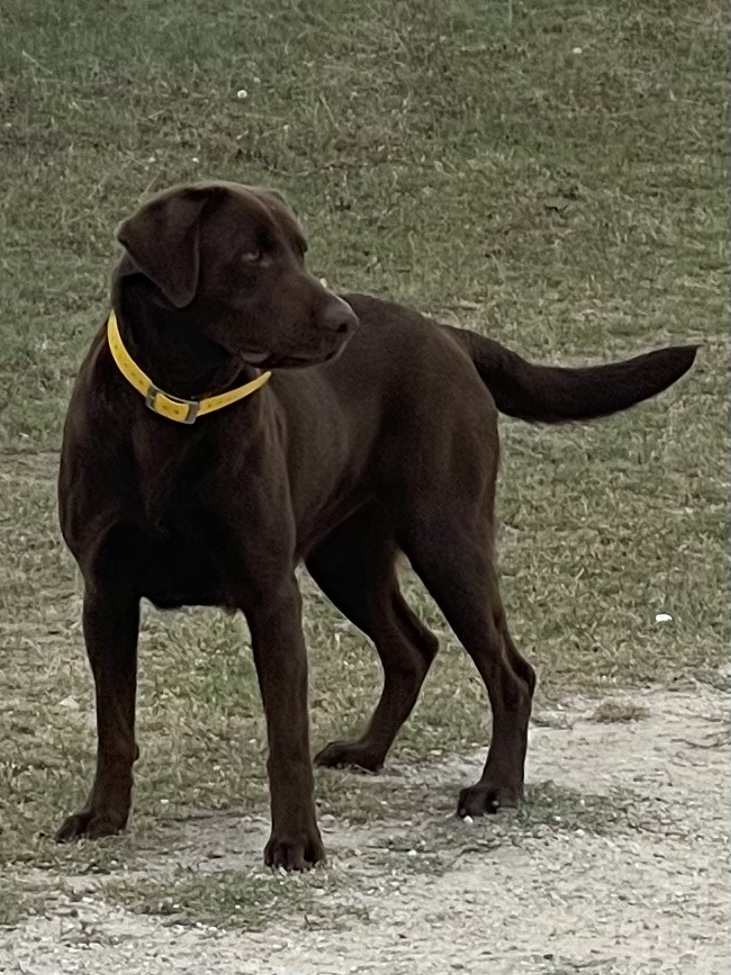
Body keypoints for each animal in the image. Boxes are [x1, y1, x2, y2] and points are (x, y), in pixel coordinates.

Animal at [57, 181, 696, 868]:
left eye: (301, 251)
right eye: (253, 255)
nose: (344, 321)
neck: (175, 407)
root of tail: (448, 334)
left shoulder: (271, 594)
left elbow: (285, 736)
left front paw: (295, 843)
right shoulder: (106, 594)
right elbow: (114, 726)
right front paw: (103, 816)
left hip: (448, 539)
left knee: (510, 672)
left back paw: (496, 787)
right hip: (348, 560)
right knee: (414, 648)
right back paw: (368, 752)